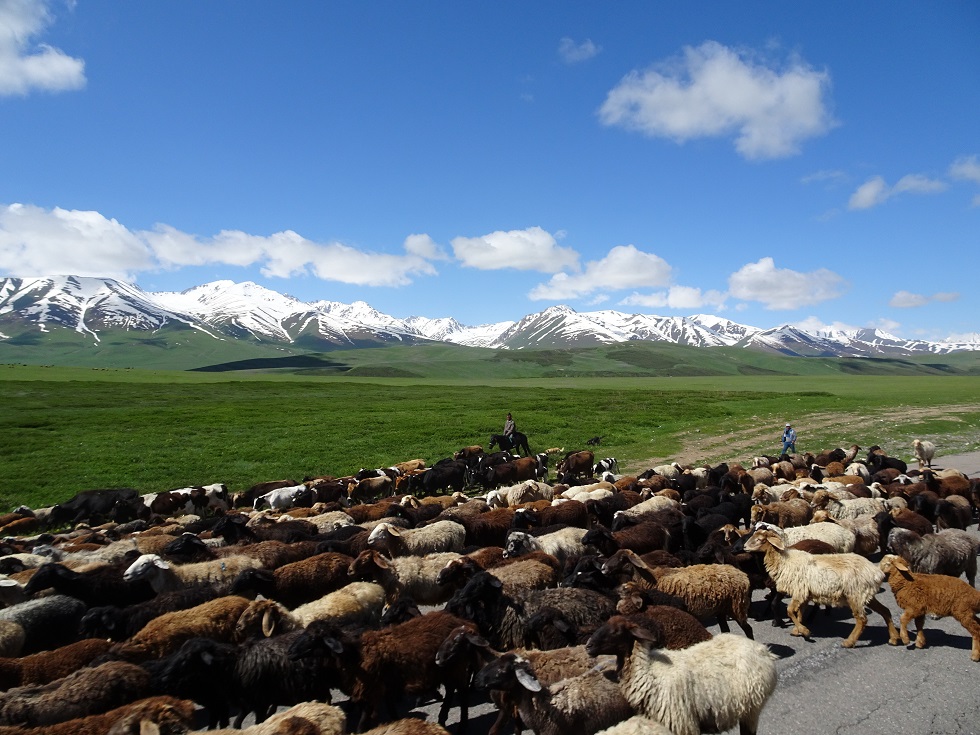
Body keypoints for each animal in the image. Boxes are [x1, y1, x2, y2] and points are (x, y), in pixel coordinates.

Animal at [584, 620, 776, 735]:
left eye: (615, 631)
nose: (588, 646)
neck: (647, 670)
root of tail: (763, 650)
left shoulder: (682, 723)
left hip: (751, 709)